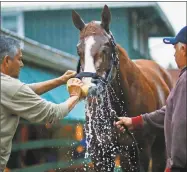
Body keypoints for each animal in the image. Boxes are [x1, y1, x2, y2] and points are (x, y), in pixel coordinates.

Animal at [71, 4, 172, 171]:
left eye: (105, 47)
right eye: (79, 50)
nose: (89, 87)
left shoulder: (140, 152)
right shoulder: (100, 153)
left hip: (158, 148)